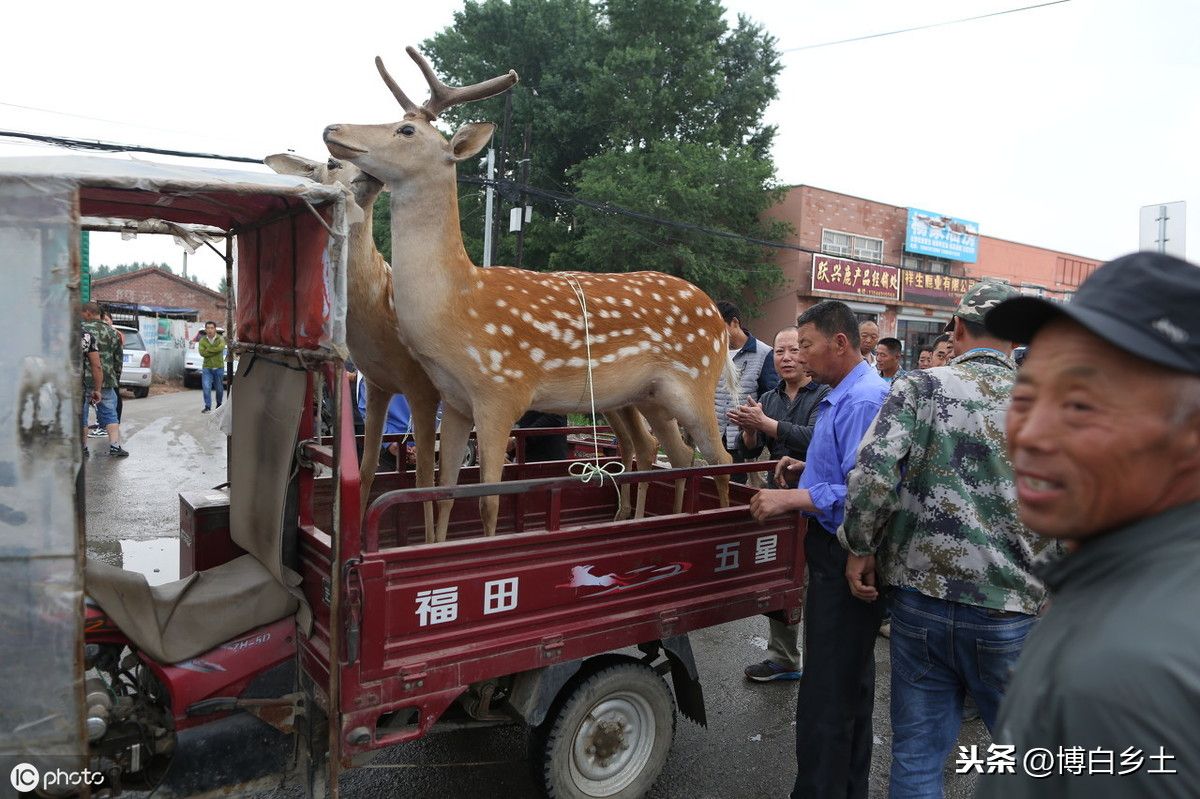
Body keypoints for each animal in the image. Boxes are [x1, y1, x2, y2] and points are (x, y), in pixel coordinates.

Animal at [326, 48, 739, 535]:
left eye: (406, 130)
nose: (332, 130)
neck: (457, 303)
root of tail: (716, 315)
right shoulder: (457, 401)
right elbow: (443, 491)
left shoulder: (502, 390)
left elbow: (488, 501)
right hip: (647, 395)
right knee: (676, 455)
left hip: (695, 381)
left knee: (721, 458)